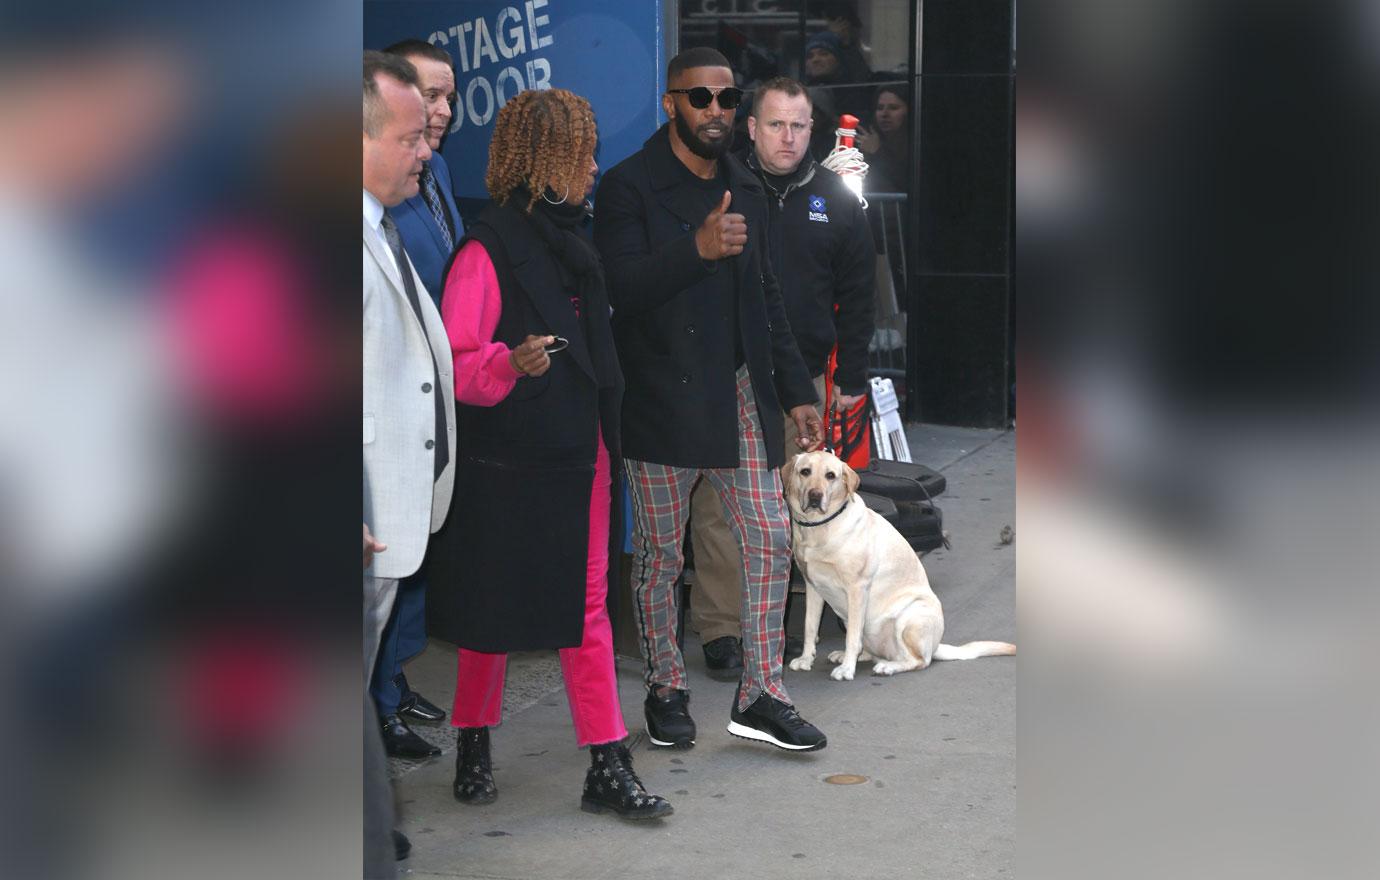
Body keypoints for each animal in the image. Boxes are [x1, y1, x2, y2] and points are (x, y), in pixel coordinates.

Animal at [789, 452, 1015, 678]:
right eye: (805, 471)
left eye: (831, 475)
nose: (815, 495)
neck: (819, 527)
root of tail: (935, 646)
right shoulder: (813, 587)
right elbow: (810, 627)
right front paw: (806, 659)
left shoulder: (857, 588)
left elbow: (852, 637)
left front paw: (846, 669)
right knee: (870, 649)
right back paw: (848, 655)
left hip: (908, 618)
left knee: (918, 661)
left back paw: (887, 666)